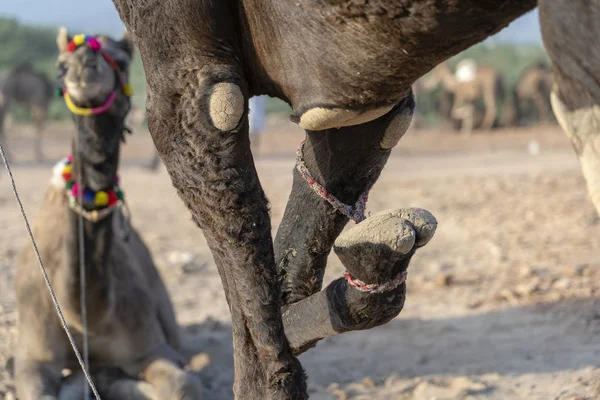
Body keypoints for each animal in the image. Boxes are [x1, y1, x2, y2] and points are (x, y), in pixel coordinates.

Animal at [12, 29, 202, 398]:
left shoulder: (151, 346)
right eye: (61, 64)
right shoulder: (33, 355)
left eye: (123, 60)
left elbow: (183, 384)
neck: (85, 315)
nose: (84, 65)